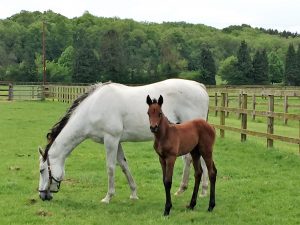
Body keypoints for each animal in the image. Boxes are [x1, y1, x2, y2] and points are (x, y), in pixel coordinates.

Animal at [37, 78, 209, 202]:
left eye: (42, 170)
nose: (42, 195)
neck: (93, 107)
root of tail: (199, 86)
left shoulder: (111, 140)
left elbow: (111, 168)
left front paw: (108, 197)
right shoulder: (117, 141)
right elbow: (124, 165)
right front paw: (134, 193)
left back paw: (203, 190)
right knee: (191, 159)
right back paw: (185, 190)